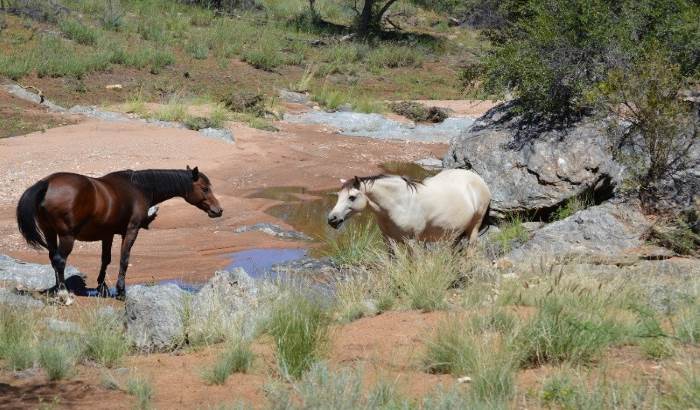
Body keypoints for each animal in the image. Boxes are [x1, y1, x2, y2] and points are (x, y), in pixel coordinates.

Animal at [15, 166, 223, 298]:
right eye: (205, 188)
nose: (218, 210)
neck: (138, 187)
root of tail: (47, 183)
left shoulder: (107, 235)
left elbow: (106, 260)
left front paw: (102, 287)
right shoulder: (130, 231)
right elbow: (124, 259)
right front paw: (121, 291)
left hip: (50, 233)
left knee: (53, 258)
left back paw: (59, 288)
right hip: (67, 237)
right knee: (59, 260)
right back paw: (63, 292)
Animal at [328, 169, 492, 245]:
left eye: (352, 197)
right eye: (338, 196)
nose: (332, 219)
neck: (399, 204)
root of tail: (478, 179)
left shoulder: (412, 242)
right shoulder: (388, 241)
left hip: (474, 228)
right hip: (454, 233)